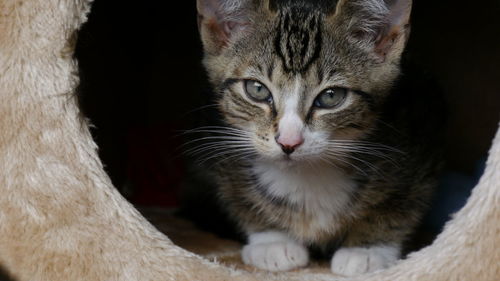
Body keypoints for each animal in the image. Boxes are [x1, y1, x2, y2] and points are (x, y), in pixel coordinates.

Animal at [195, 0, 442, 276]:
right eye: (256, 89)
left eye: (331, 96)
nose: (288, 142)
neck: (307, 174)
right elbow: (240, 198)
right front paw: (272, 242)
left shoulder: (419, 135)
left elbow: (399, 206)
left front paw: (367, 250)